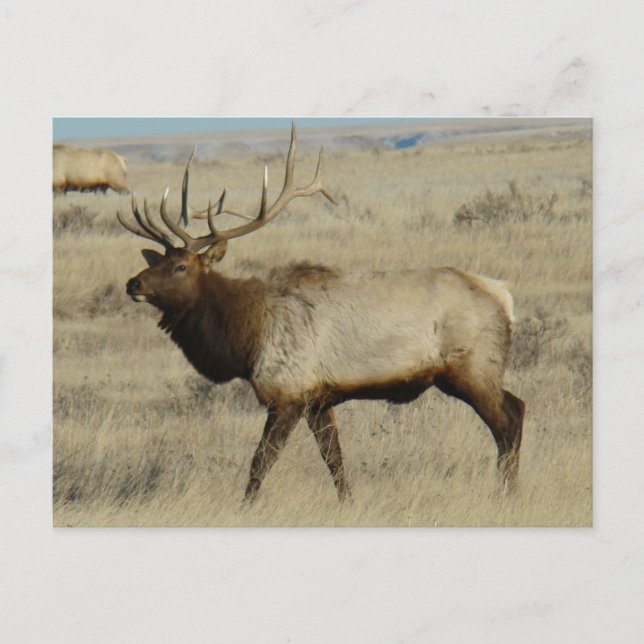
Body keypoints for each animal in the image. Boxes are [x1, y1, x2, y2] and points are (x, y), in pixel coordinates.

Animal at [118, 124, 525, 503]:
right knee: (516, 409)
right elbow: (334, 460)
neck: (247, 336)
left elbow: (260, 461)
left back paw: (504, 494)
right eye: (158, 261)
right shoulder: (319, 398)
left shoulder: (288, 392)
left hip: (471, 367)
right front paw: (348, 503)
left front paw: (245, 507)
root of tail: (504, 297)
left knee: (509, 418)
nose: (133, 283)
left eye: (181, 267)